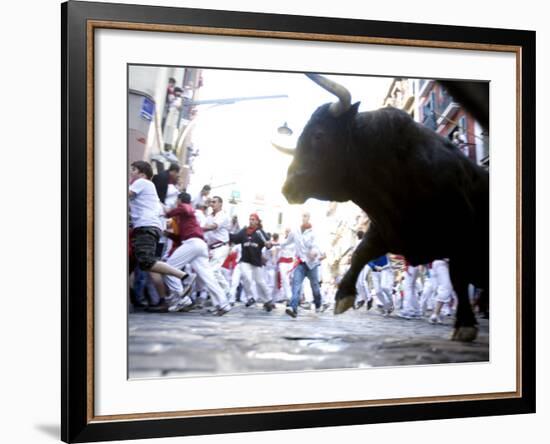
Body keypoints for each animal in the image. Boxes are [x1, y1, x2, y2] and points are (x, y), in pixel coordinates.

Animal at [278, 74, 490, 342]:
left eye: (318, 135)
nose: (288, 187)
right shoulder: (386, 229)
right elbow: (360, 252)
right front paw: (343, 296)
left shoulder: (460, 233)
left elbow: (458, 278)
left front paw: (464, 325)